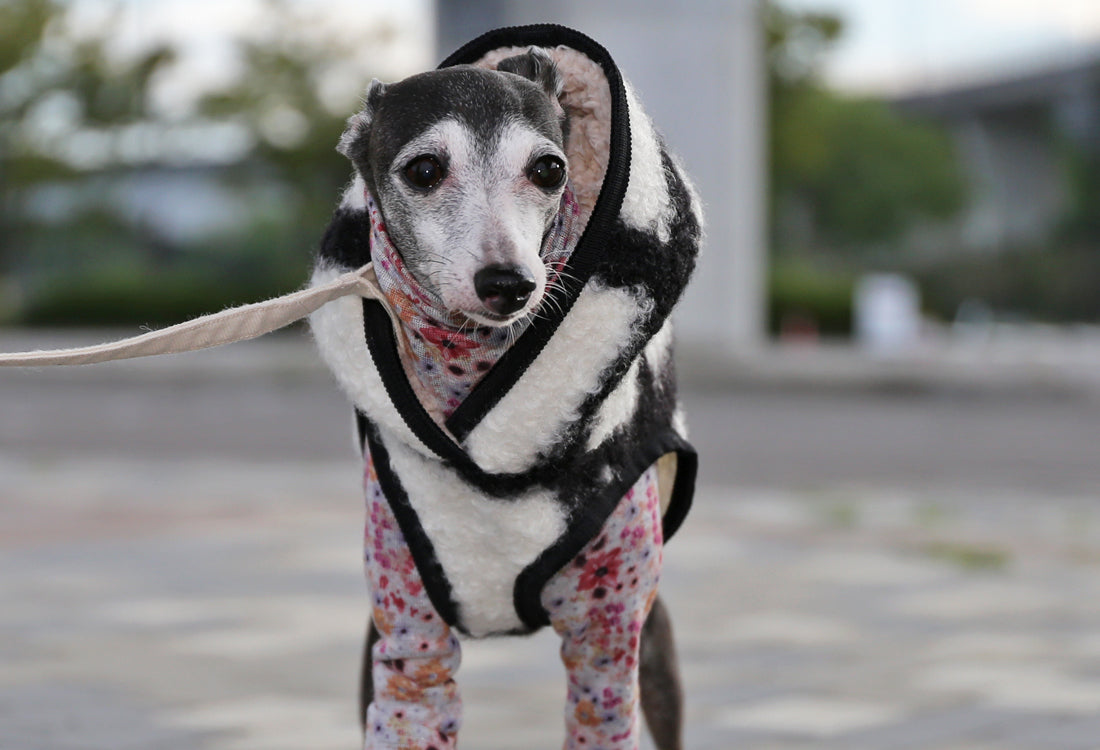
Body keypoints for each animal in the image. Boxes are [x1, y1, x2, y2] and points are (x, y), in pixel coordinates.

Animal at [310, 27, 704, 747]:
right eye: (424, 170)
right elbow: (412, 703)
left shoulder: (607, 635)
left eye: (548, 170)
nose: (509, 284)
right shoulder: (407, 629)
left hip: (652, 635)